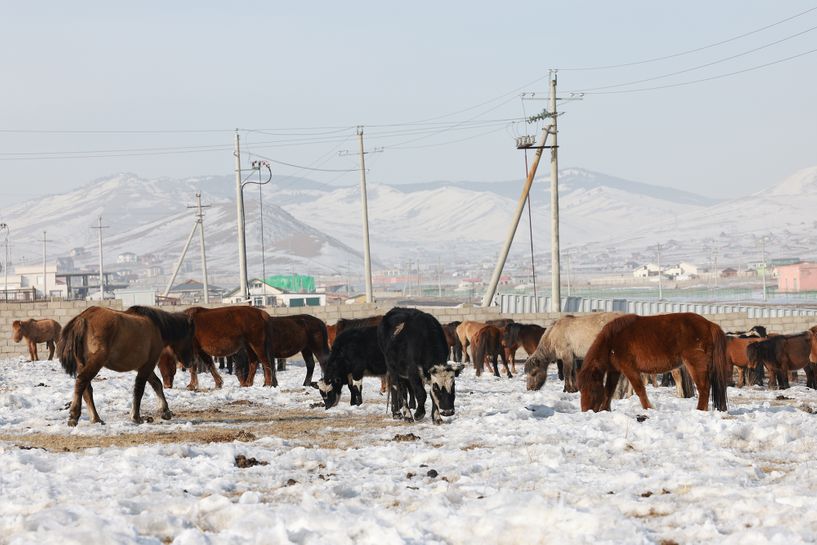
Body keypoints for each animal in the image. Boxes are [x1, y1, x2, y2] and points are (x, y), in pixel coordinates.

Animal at [57, 306, 194, 424]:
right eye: (190, 337)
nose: (190, 362)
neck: (157, 327)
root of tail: (84, 318)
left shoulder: (143, 366)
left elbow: (157, 384)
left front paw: (165, 411)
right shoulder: (148, 365)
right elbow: (139, 389)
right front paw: (136, 416)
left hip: (83, 364)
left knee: (86, 389)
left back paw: (95, 418)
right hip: (95, 363)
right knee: (81, 382)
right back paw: (74, 416)